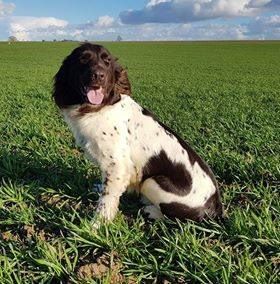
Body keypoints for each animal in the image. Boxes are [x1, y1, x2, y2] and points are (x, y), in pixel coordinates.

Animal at [53, 42, 223, 224]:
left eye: (107, 61)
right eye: (83, 59)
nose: (99, 75)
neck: (99, 107)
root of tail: (216, 206)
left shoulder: (116, 165)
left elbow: (107, 199)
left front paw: (97, 225)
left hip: (153, 181)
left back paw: (151, 211)